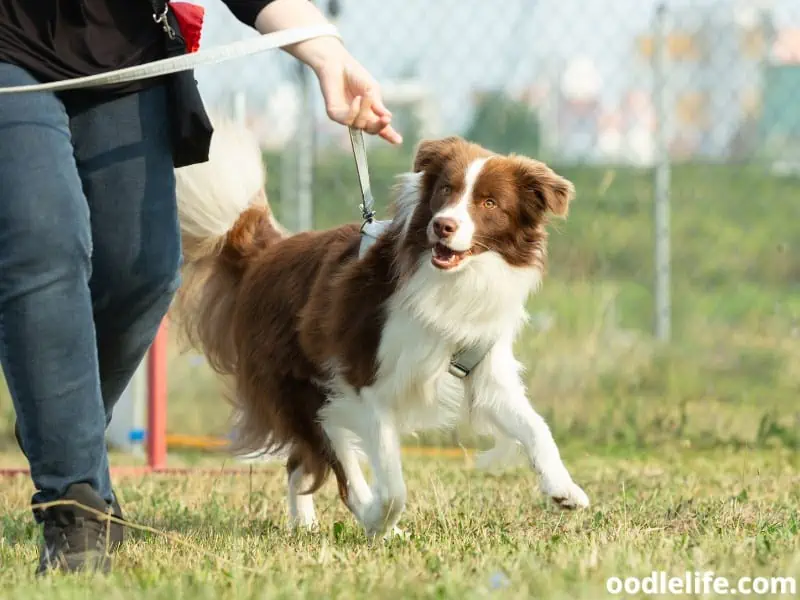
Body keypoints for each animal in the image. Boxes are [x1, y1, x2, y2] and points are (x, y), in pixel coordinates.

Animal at [173, 119, 588, 536]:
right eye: (445, 190)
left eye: (490, 203)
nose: (443, 225)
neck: (447, 281)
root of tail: (265, 253)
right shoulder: (364, 383)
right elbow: (392, 484)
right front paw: (378, 518)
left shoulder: (483, 368)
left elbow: (535, 426)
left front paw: (563, 488)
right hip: (304, 389)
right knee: (332, 463)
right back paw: (367, 518)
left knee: (301, 463)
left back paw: (306, 523)